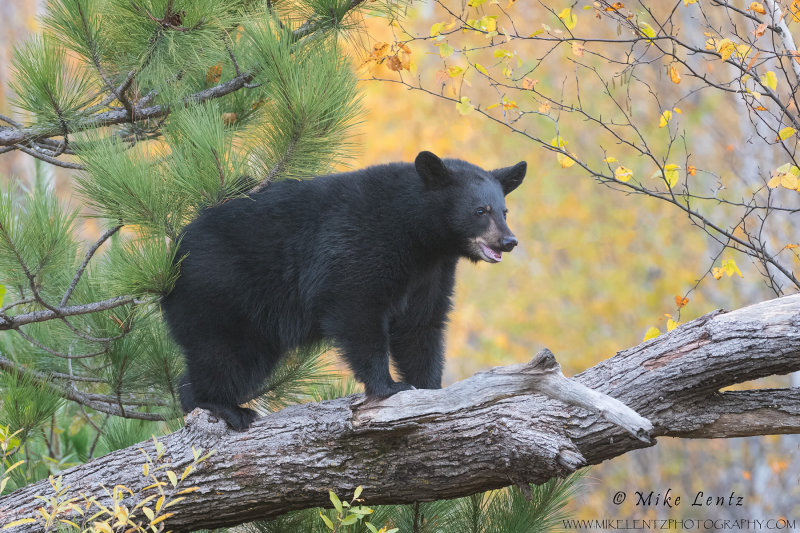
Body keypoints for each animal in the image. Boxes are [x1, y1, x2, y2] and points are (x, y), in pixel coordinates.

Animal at [162, 150, 524, 428]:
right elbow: (358, 311)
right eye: (480, 211)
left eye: (504, 211)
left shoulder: (430, 274)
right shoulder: (359, 245)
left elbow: (421, 326)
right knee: (223, 354)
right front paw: (389, 386)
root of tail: (173, 255)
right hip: (222, 290)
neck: (420, 236)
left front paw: (432, 389)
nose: (508, 241)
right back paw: (224, 407)